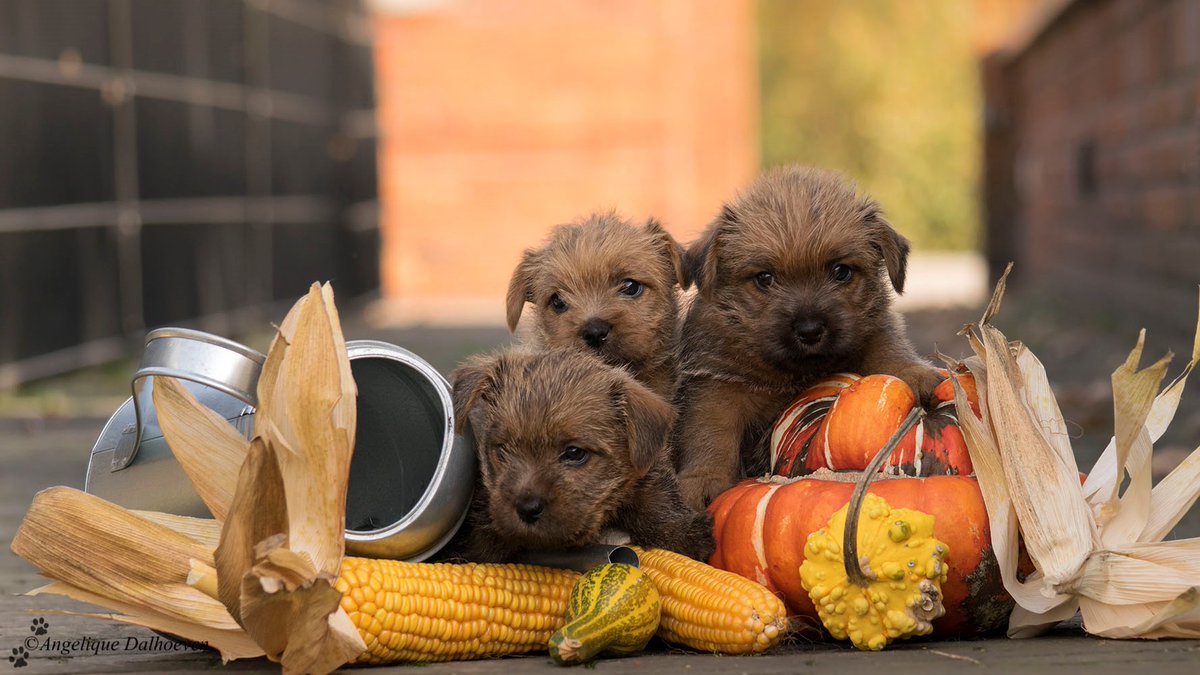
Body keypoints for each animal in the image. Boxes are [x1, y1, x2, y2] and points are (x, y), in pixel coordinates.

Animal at [451, 343, 710, 559]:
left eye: (574, 453)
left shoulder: (647, 478)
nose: (527, 508)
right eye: (503, 450)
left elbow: (657, 508)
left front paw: (679, 533)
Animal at [672, 165, 940, 506]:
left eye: (841, 271)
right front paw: (704, 479)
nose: (810, 330)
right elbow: (710, 433)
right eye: (764, 278)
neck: (793, 373)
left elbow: (888, 350)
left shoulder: (874, 331)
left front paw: (915, 373)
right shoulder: (717, 388)